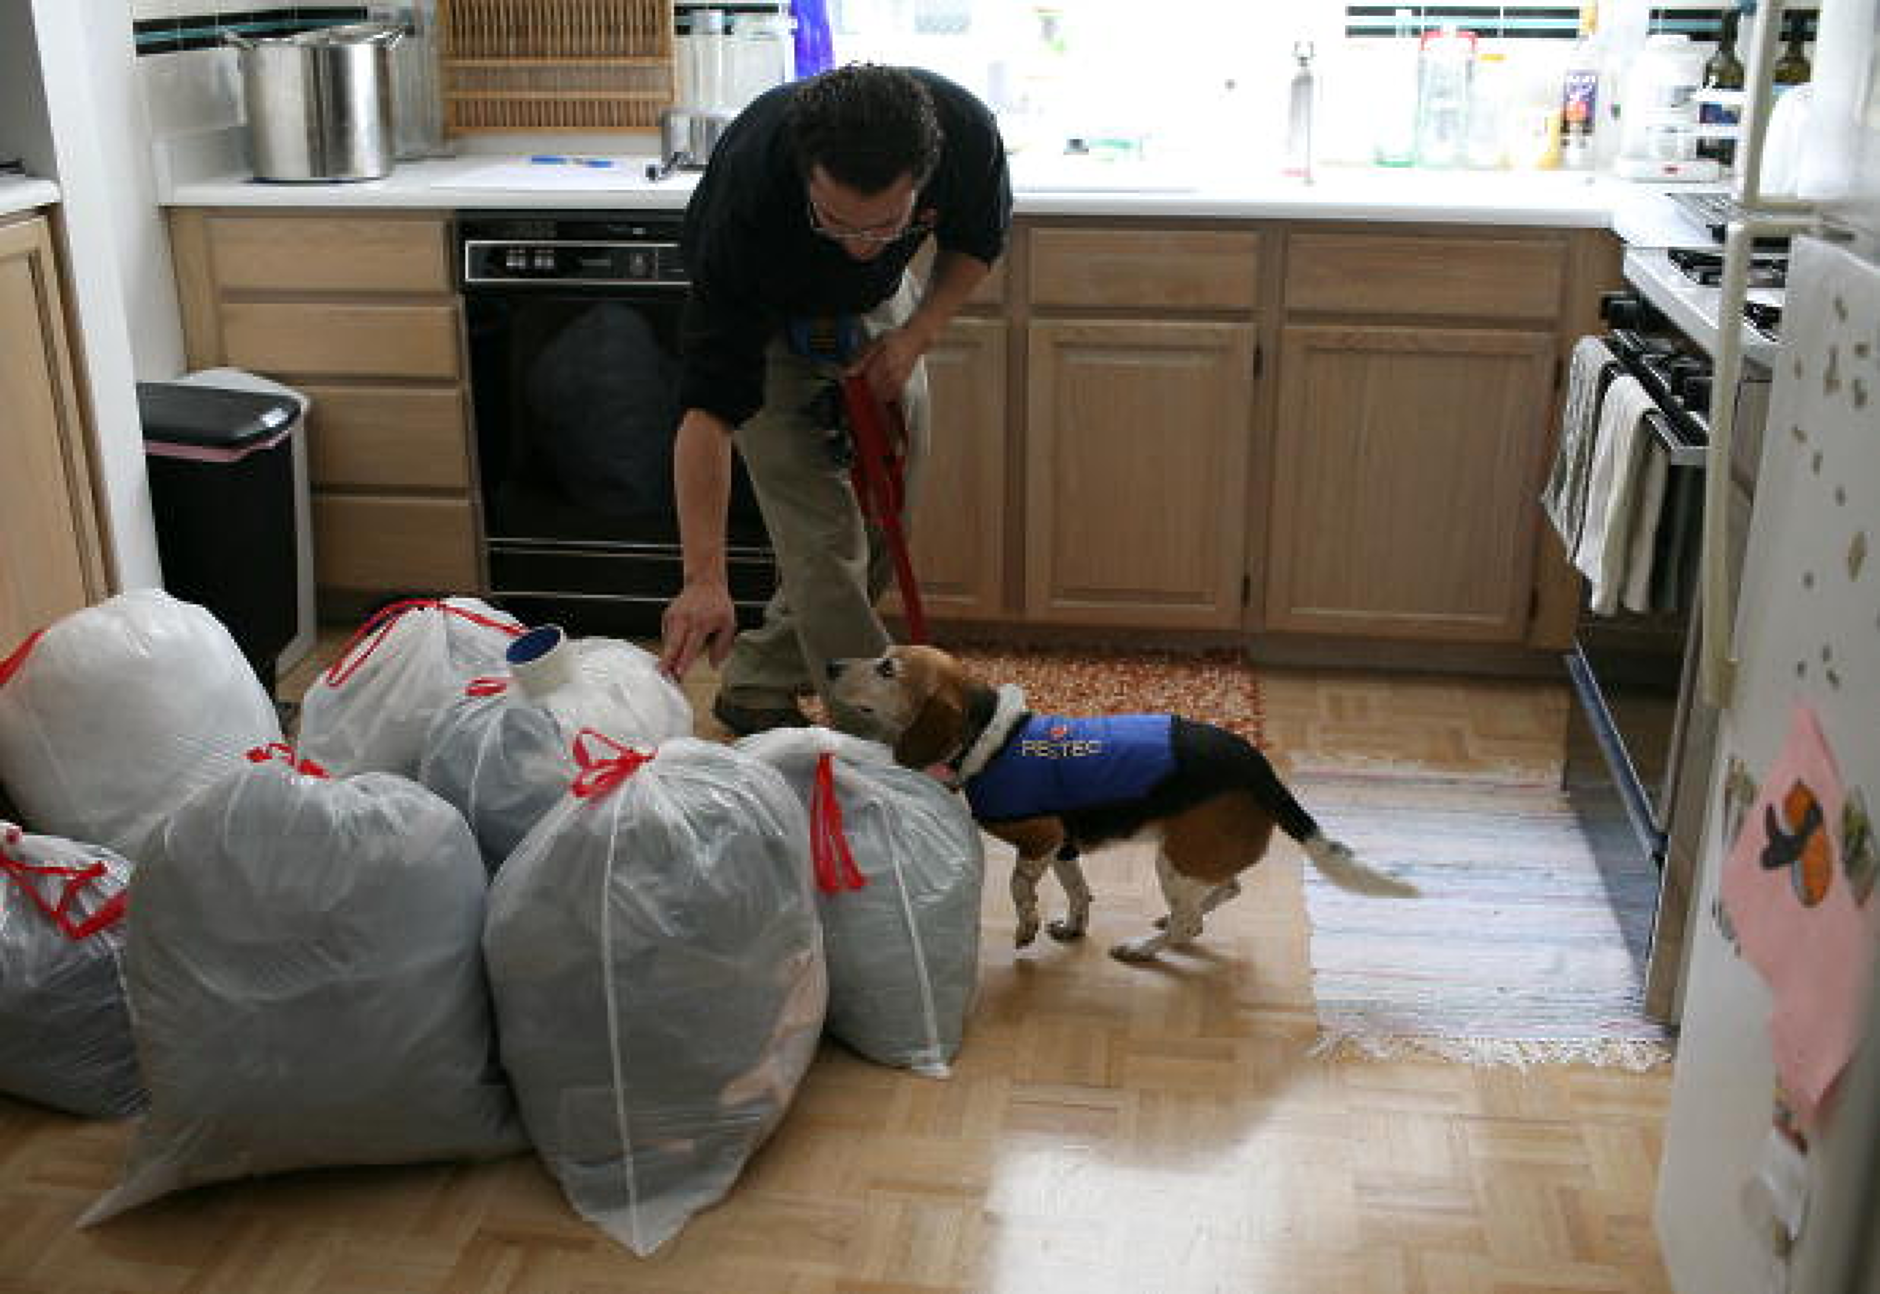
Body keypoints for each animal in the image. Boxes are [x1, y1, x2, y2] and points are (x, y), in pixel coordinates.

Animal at [830, 643, 1413, 959]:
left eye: (888, 669)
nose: (832, 667)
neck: (991, 734)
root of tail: (1260, 769)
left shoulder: (1040, 840)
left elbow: (1019, 887)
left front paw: (1026, 927)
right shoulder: (1063, 847)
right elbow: (1077, 891)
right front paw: (1071, 927)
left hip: (1174, 858)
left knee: (1189, 925)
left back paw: (1142, 950)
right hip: (1195, 857)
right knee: (1224, 890)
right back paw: (1170, 920)